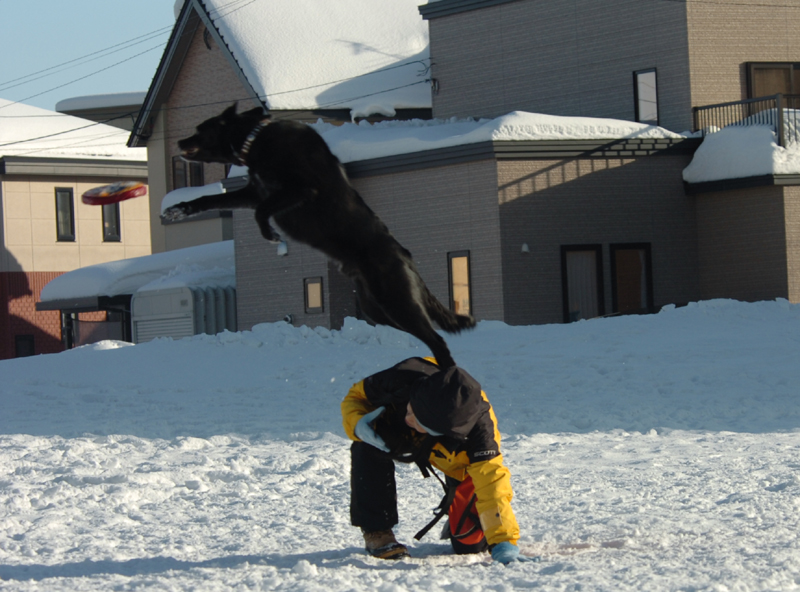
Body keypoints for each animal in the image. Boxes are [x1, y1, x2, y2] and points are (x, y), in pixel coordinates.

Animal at [162, 104, 476, 368]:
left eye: (201, 128)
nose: (179, 143)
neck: (258, 139)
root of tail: (406, 256)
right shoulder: (254, 192)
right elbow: (208, 199)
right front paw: (178, 209)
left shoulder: (299, 188)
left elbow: (261, 212)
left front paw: (270, 233)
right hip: (376, 309)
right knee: (429, 336)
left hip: (396, 301)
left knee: (438, 340)